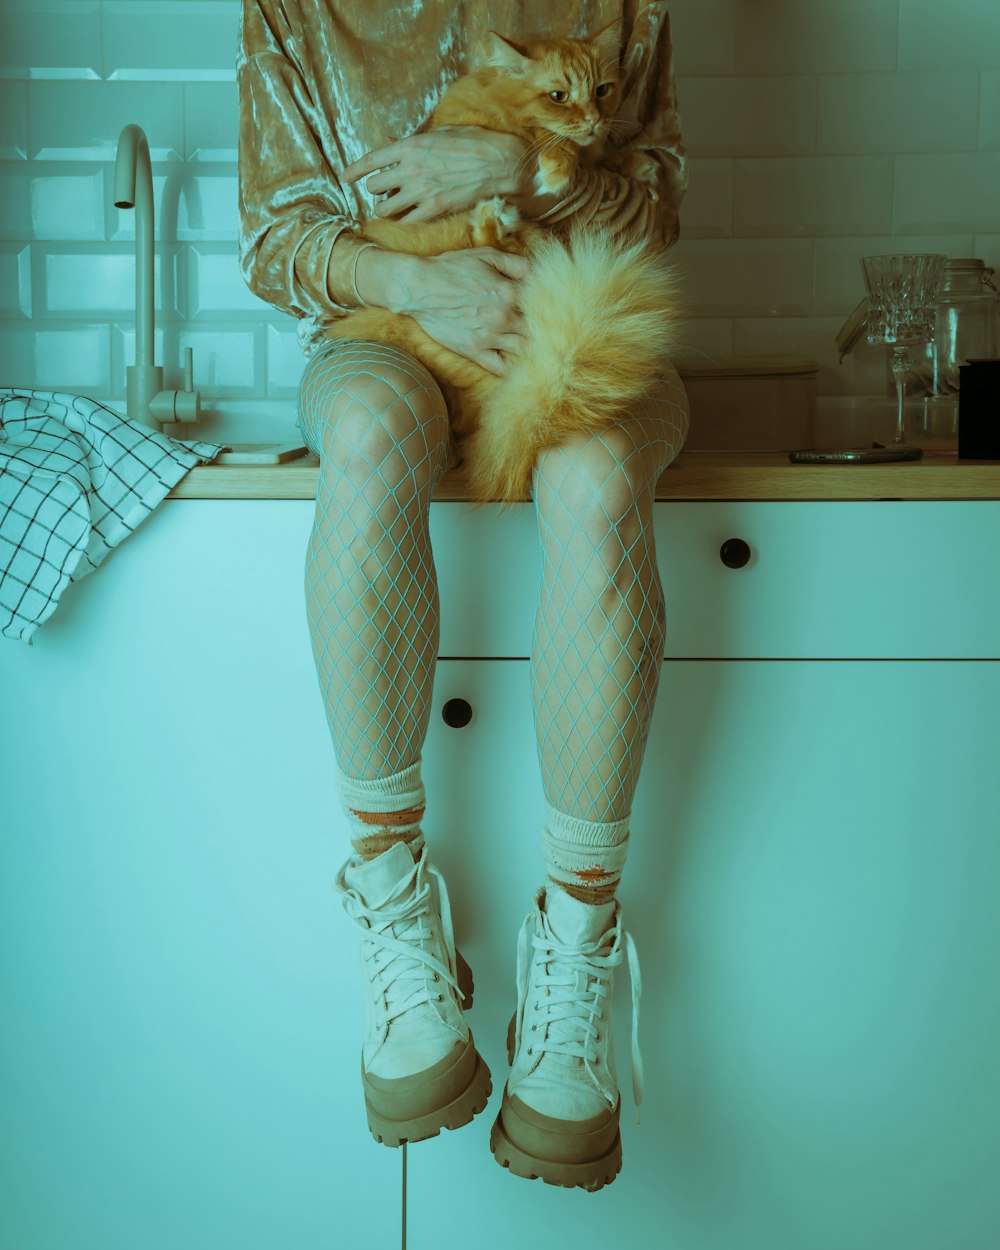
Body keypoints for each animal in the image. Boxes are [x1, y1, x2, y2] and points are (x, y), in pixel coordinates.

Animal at [325, 22, 685, 507]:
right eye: (559, 96)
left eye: (603, 91)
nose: (594, 119)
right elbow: (548, 139)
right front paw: (558, 166)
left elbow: (605, 155)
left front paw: (635, 164)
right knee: (493, 237)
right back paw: (494, 216)